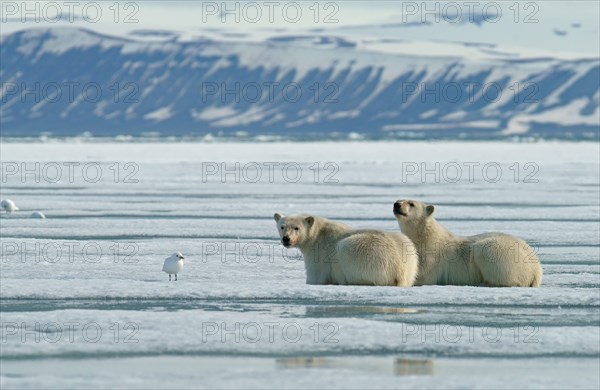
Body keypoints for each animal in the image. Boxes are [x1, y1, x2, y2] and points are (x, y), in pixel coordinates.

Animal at [276, 213, 420, 286]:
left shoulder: (318, 253)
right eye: (282, 226)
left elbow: (316, 276)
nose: (286, 239)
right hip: (407, 249)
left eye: (296, 228)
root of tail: (399, 270)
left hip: (363, 251)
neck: (317, 233)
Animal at [394, 201, 544, 286]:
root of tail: (537, 269)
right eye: (398, 201)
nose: (397, 204)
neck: (424, 236)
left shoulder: (432, 256)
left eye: (411, 204)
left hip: (501, 253)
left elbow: (421, 275)